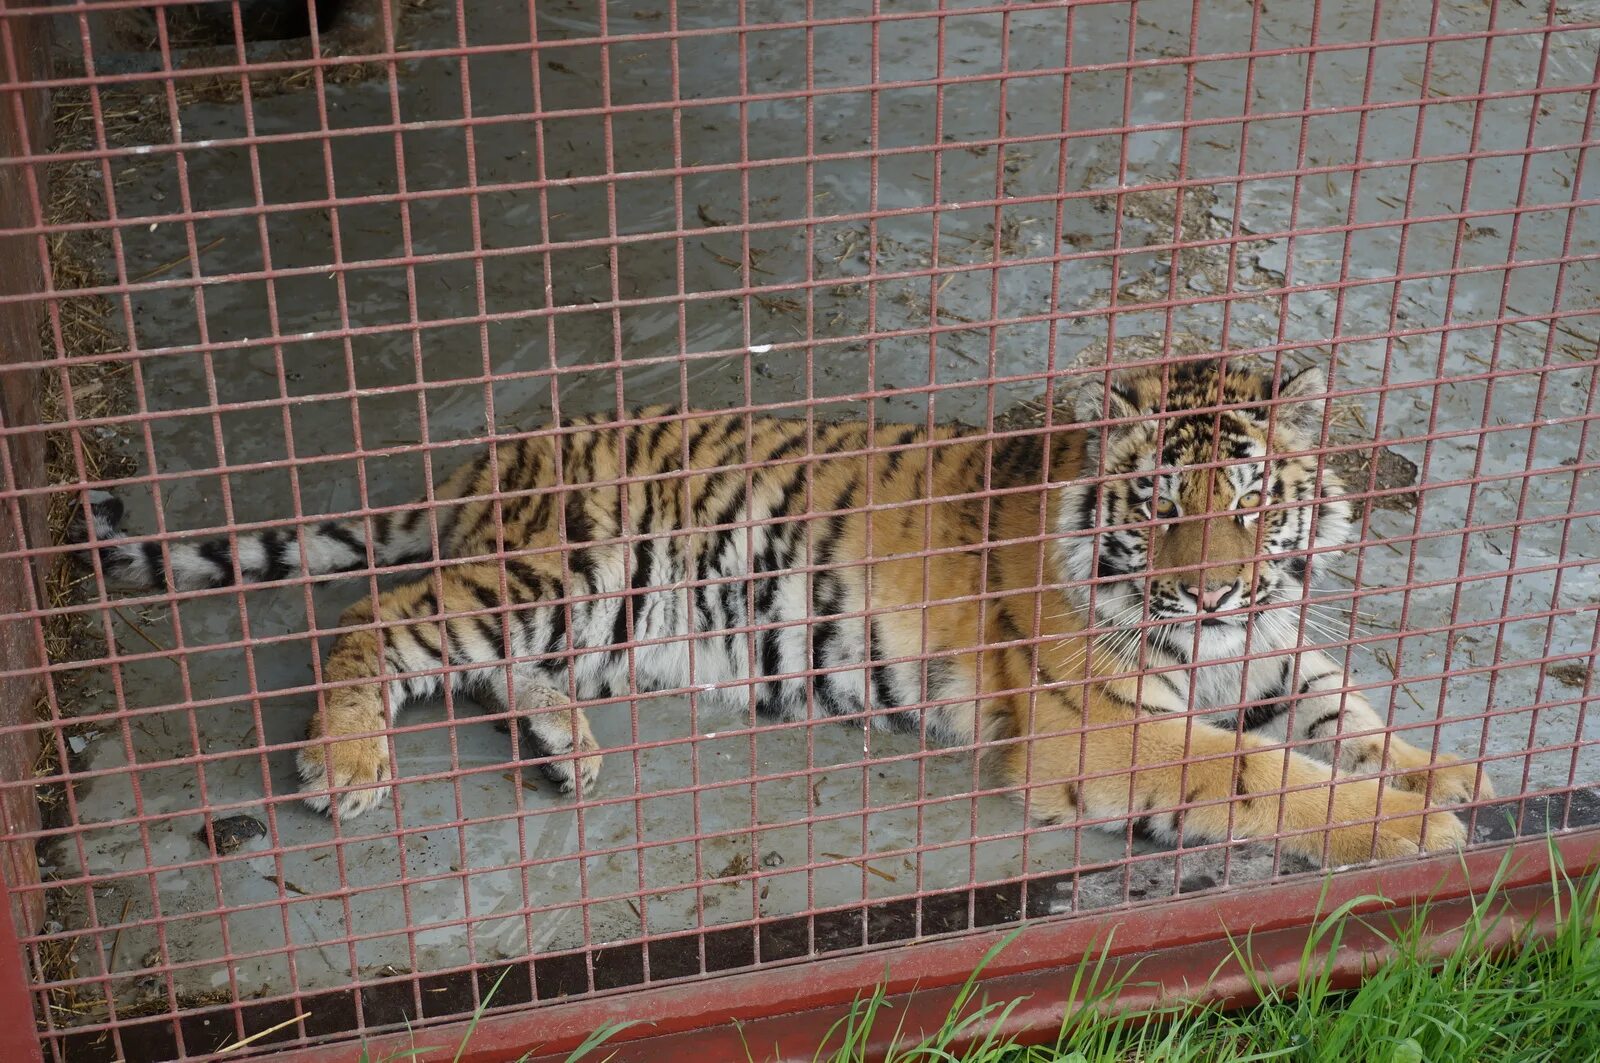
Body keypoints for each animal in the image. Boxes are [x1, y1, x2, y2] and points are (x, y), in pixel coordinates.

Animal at [68, 357, 1491, 864]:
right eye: (1157, 499)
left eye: (1252, 502)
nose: (1203, 585)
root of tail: (488, 462)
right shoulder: (1103, 725)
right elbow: (1266, 775)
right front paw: (1413, 828)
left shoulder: (1266, 648)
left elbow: (1341, 707)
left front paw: (1449, 771)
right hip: (554, 574)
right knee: (374, 622)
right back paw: (347, 764)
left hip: (591, 626)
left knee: (487, 670)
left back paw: (568, 752)